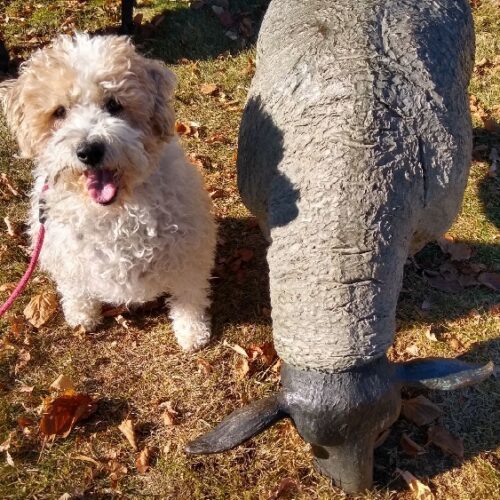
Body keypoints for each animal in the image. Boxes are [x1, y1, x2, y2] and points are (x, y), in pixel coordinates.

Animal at [1, 34, 217, 352]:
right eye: (59, 112)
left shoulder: (189, 253)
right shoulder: (64, 254)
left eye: (114, 104)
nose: (89, 150)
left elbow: (188, 296)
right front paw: (81, 315)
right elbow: (74, 288)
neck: (115, 212)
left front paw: (192, 332)